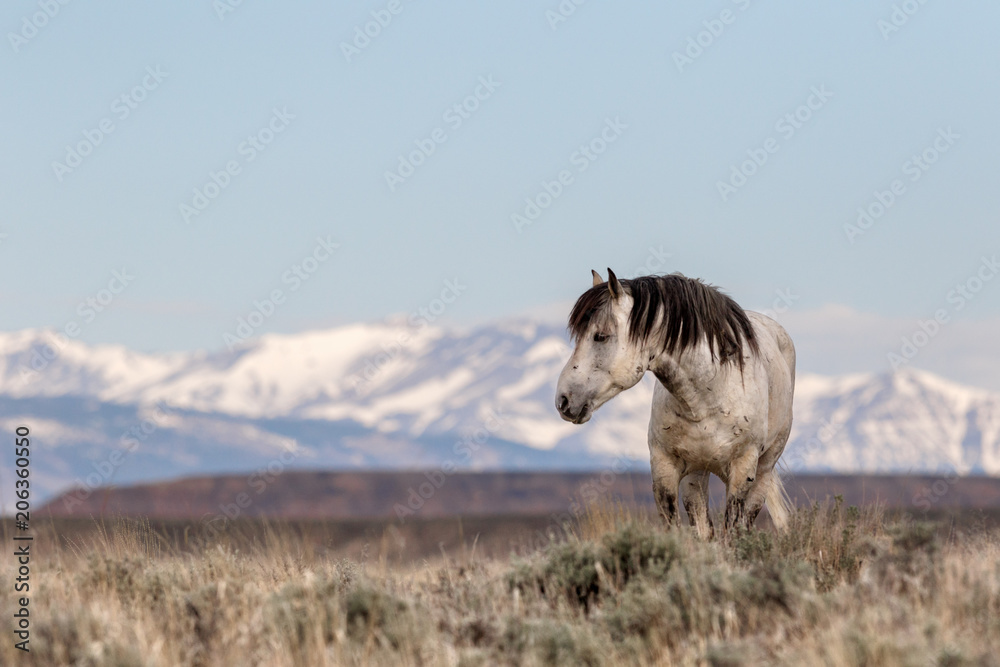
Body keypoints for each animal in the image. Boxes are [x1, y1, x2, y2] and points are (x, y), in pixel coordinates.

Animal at [555, 269, 795, 537]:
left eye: (601, 336)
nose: (563, 400)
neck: (706, 398)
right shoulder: (664, 467)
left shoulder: (742, 471)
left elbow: (732, 532)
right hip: (697, 475)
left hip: (762, 470)